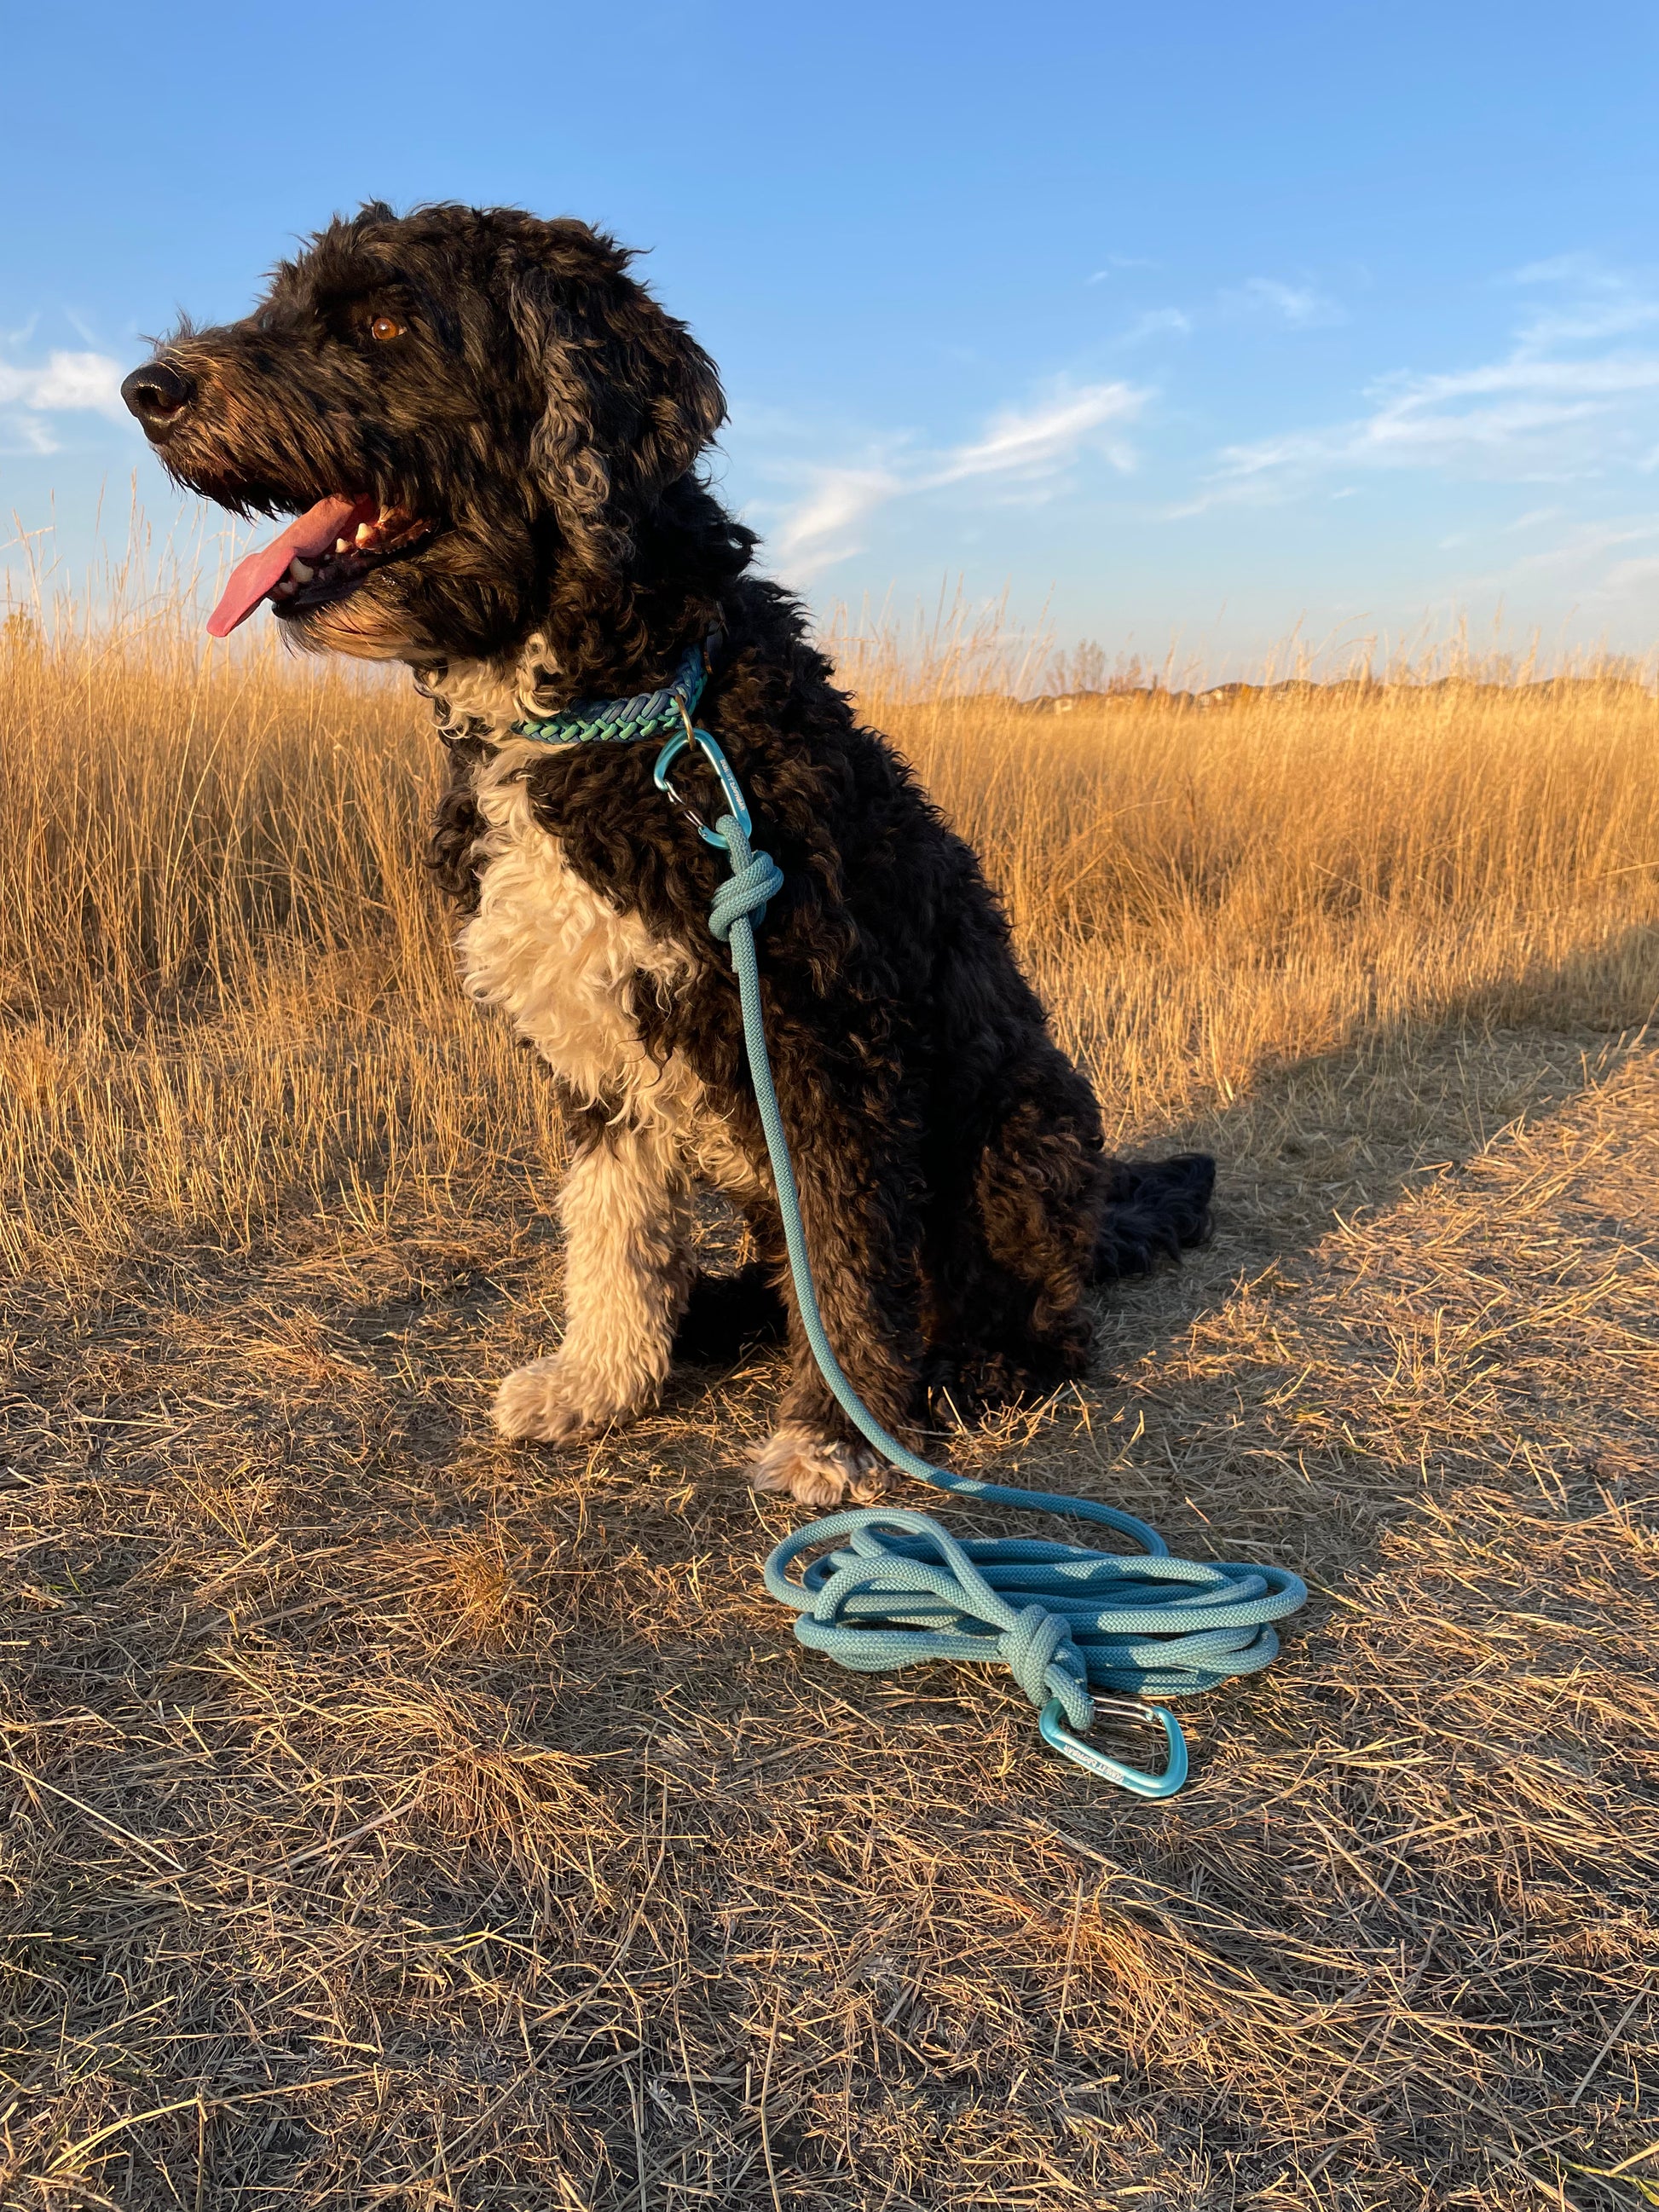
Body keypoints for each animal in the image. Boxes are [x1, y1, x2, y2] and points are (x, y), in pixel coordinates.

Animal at [126, 207, 1221, 1512]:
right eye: (284, 301)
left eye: (385, 322)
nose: (147, 389)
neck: (620, 716)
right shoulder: (593, 1053)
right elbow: (614, 1231)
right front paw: (602, 1380)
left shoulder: (824, 1048)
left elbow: (847, 1262)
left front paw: (836, 1433)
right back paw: (721, 1315)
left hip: (1025, 1124)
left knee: (1033, 1310)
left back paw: (975, 1363)